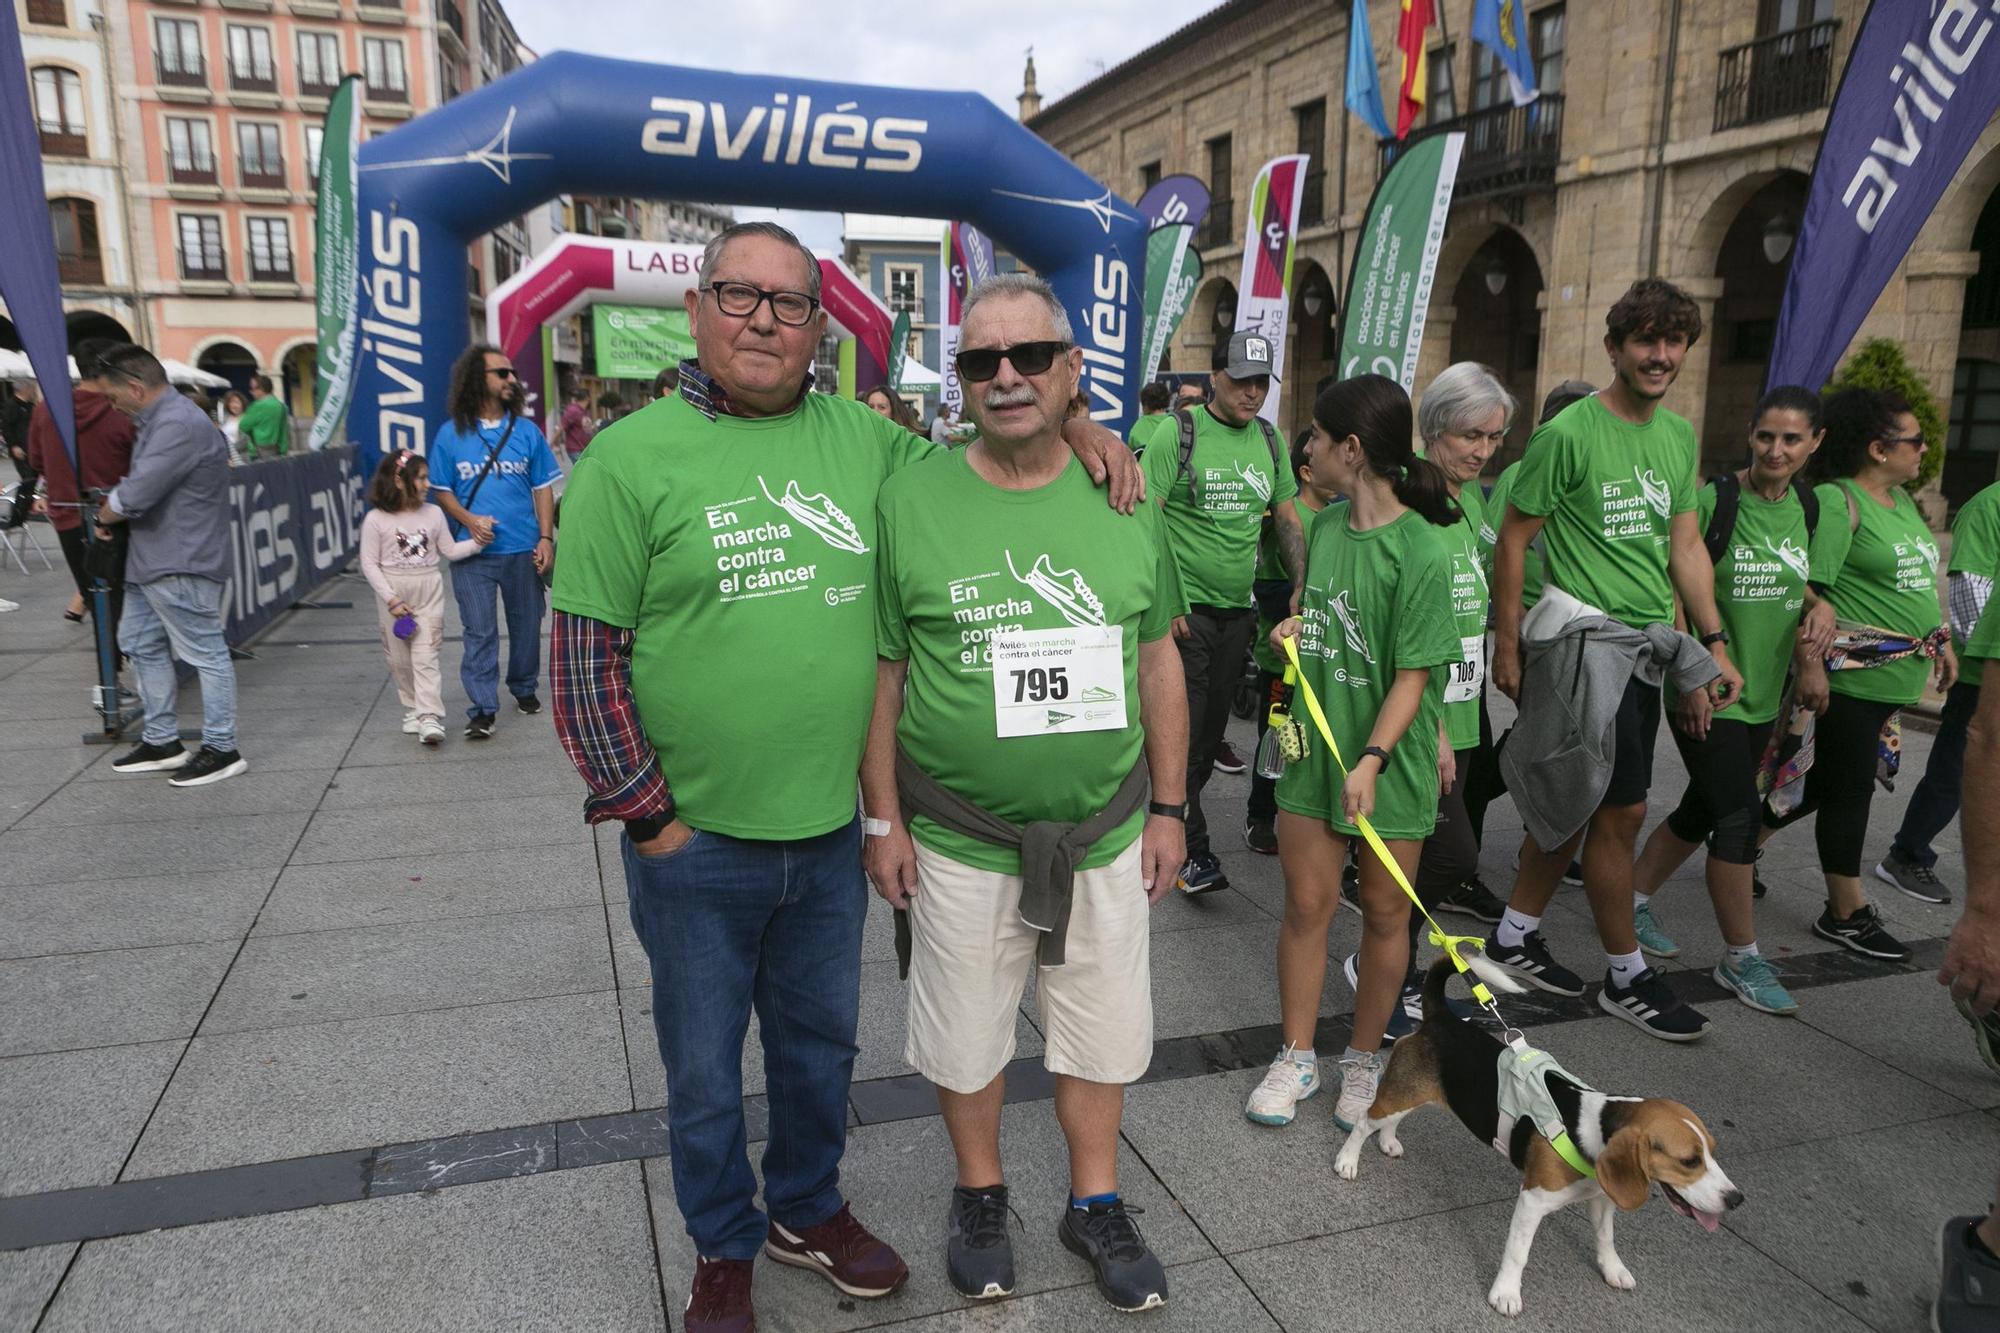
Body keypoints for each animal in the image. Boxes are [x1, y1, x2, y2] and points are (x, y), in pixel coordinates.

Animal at [1336, 948, 1744, 1312]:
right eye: (1689, 1161)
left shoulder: (1602, 1198)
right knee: (1365, 1121)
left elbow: (1605, 1237)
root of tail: (1442, 1019)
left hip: (1415, 1092)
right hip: (1400, 1093)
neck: (1589, 1132)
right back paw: (1348, 1161)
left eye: (1712, 1151)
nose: (1736, 1200)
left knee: (1393, 1118)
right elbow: (1518, 1253)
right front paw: (1505, 1295)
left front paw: (1613, 1270)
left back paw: (1389, 1142)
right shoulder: (1532, 1201)